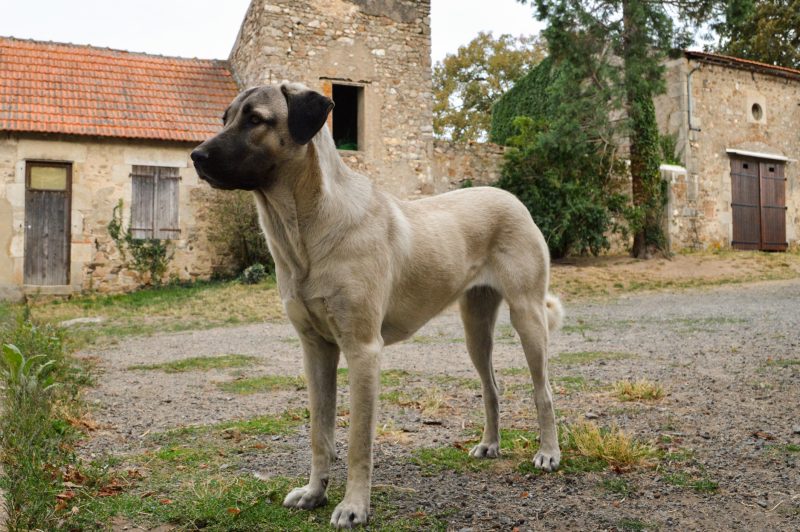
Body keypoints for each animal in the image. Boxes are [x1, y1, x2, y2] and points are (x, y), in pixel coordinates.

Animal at [191, 83, 564, 528]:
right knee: (491, 386)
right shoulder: (315, 350)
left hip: (527, 316)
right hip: (476, 328)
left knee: (543, 391)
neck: (306, 230)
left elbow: (357, 443)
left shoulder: (363, 351)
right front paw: (314, 493)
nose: (196, 156)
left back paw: (549, 452)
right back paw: (490, 444)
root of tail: (510, 196)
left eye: (255, 119)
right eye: (225, 117)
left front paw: (354, 507)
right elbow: (319, 433)